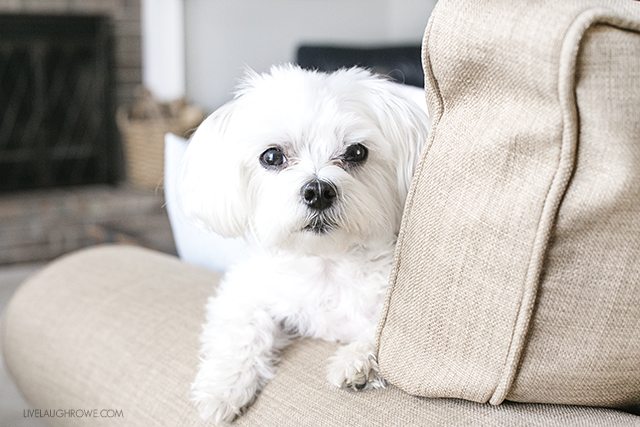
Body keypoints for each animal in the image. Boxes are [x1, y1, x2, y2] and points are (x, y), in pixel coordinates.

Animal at [179, 63, 430, 424]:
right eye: (272, 156)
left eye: (356, 152)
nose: (319, 190)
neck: (325, 262)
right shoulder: (244, 292)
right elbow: (241, 330)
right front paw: (221, 389)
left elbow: (382, 333)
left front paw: (354, 362)